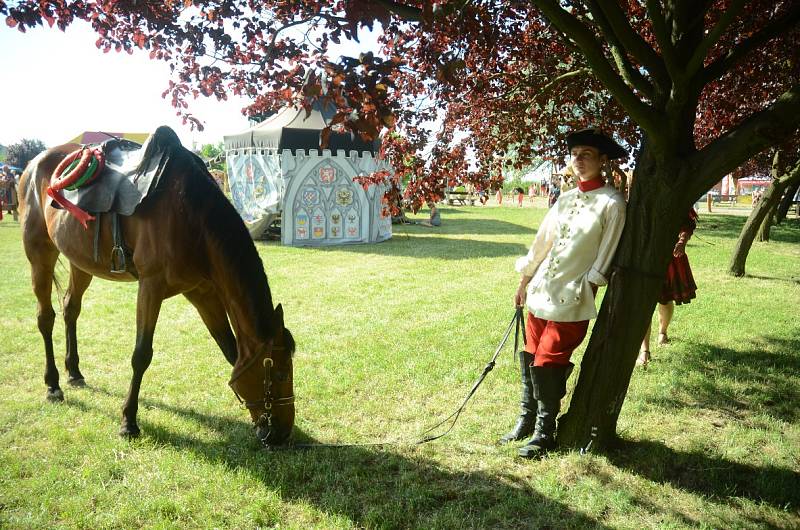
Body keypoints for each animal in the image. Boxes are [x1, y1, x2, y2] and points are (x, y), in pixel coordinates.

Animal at [18, 126, 296, 444]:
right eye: (280, 374)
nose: (283, 433)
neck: (188, 214)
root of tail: (33, 165)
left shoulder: (201, 292)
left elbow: (229, 348)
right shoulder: (151, 287)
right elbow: (141, 354)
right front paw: (128, 420)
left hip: (81, 262)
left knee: (70, 309)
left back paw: (74, 371)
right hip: (39, 254)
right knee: (45, 317)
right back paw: (53, 385)